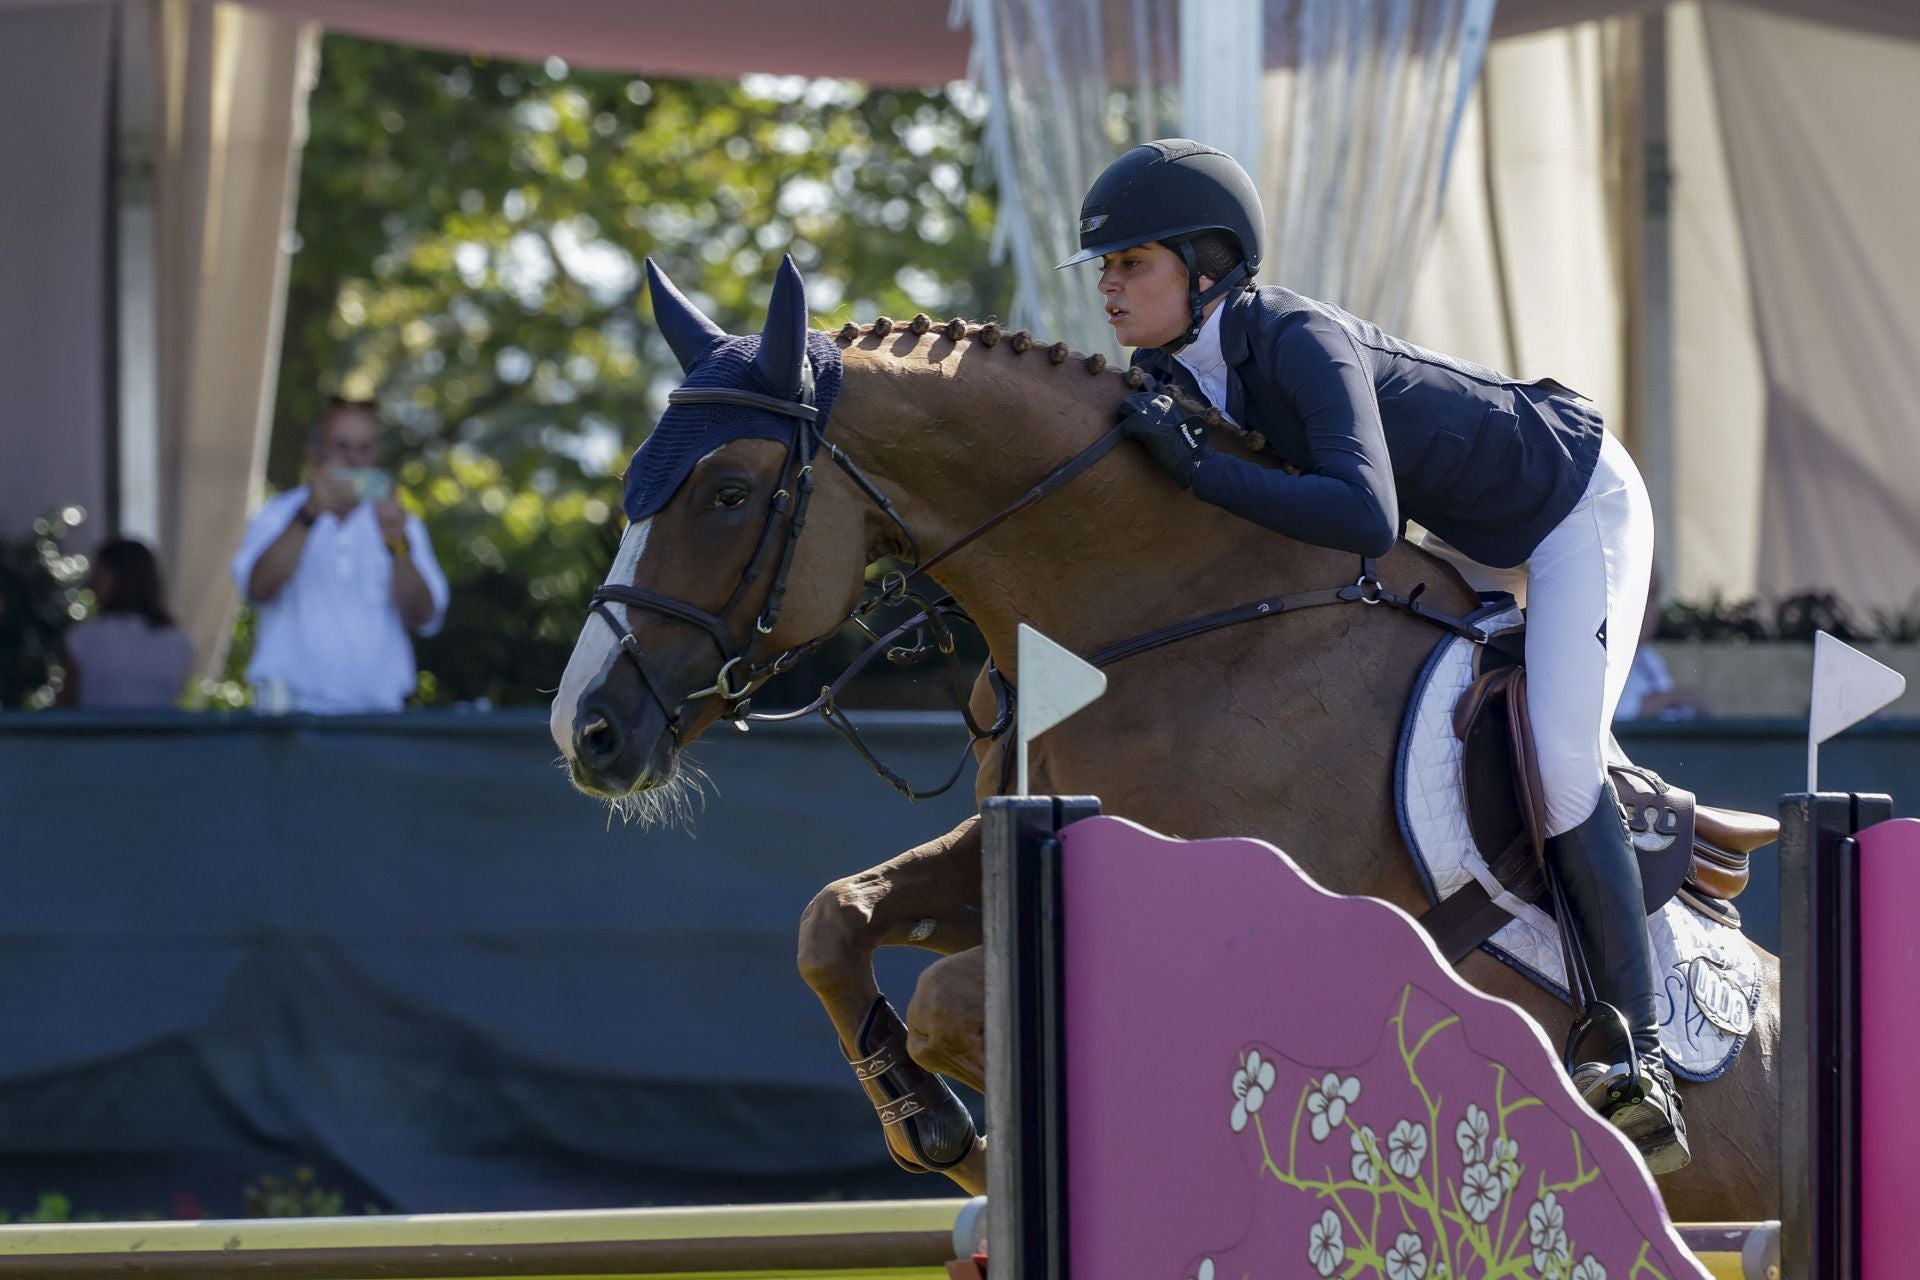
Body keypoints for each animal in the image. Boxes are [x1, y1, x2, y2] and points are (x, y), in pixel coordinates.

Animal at [556, 257, 1781, 1220]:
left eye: (726, 491)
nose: (589, 729)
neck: (1170, 627)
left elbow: (954, 993)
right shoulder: (1010, 838)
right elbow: (832, 922)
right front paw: (934, 1125)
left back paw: (1631, 1083)